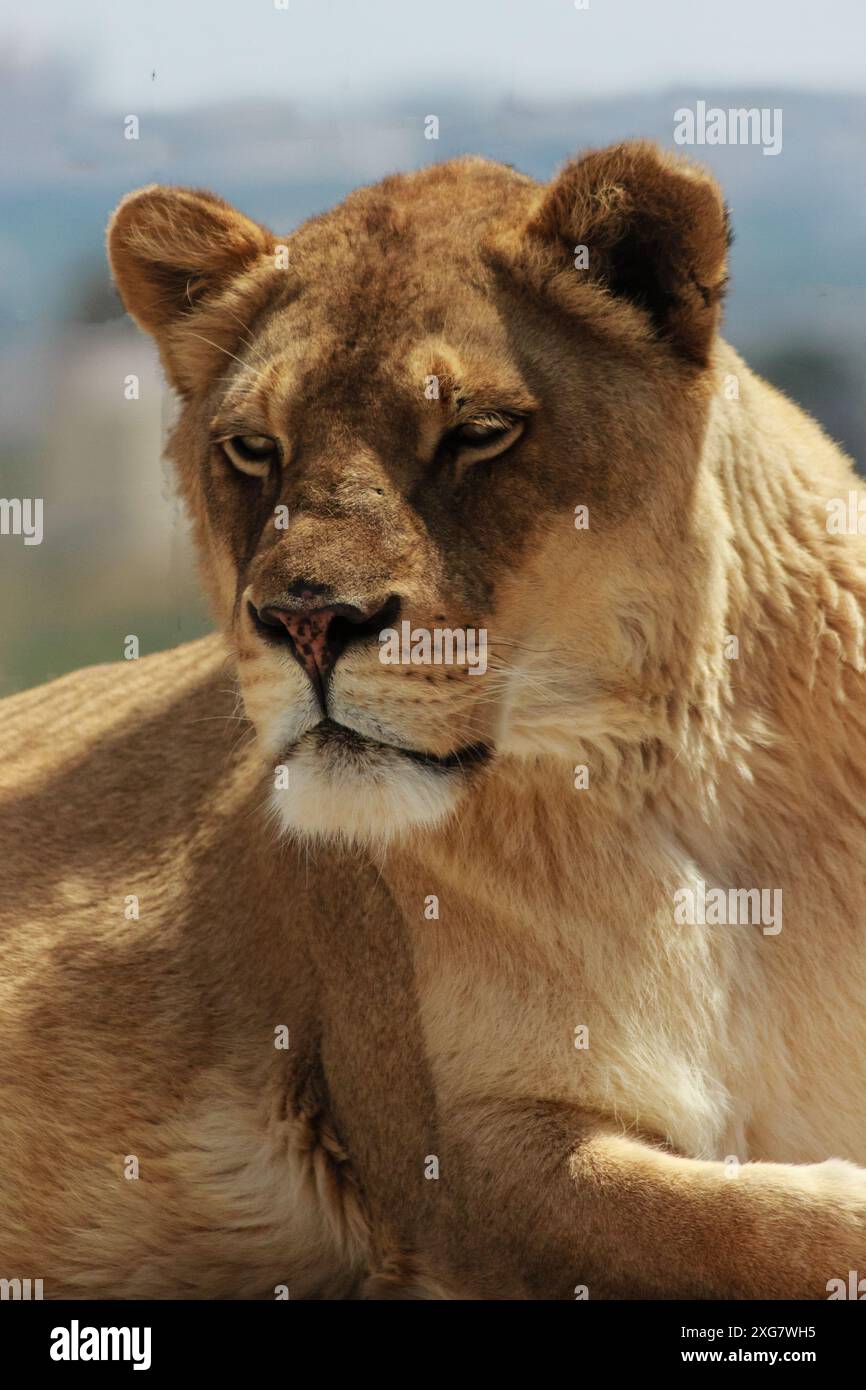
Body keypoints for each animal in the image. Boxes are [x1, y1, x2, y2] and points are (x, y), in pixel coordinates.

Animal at [1, 141, 865, 1299]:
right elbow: (761, 1226)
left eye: (478, 433)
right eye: (251, 448)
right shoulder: (455, 1155)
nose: (307, 621)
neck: (688, 775)